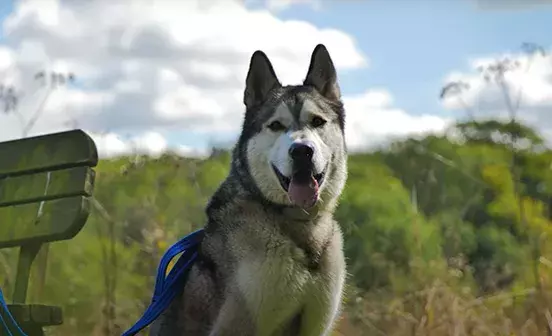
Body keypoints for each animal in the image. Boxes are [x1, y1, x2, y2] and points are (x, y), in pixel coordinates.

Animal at [150, 44, 350, 336]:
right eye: (276, 125)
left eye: (317, 122)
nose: (302, 151)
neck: (298, 228)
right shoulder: (237, 324)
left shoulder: (315, 326)